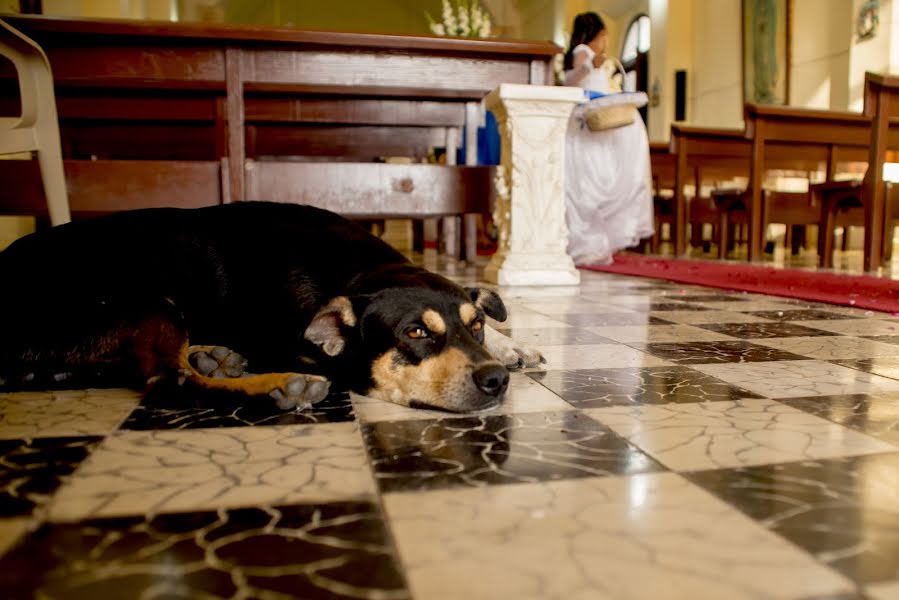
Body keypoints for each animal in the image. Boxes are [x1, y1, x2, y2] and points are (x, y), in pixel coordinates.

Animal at [0, 202, 540, 412]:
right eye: (415, 334)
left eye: (477, 327)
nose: (496, 380)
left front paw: (510, 345)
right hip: (150, 301)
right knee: (170, 383)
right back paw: (272, 384)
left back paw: (212, 355)